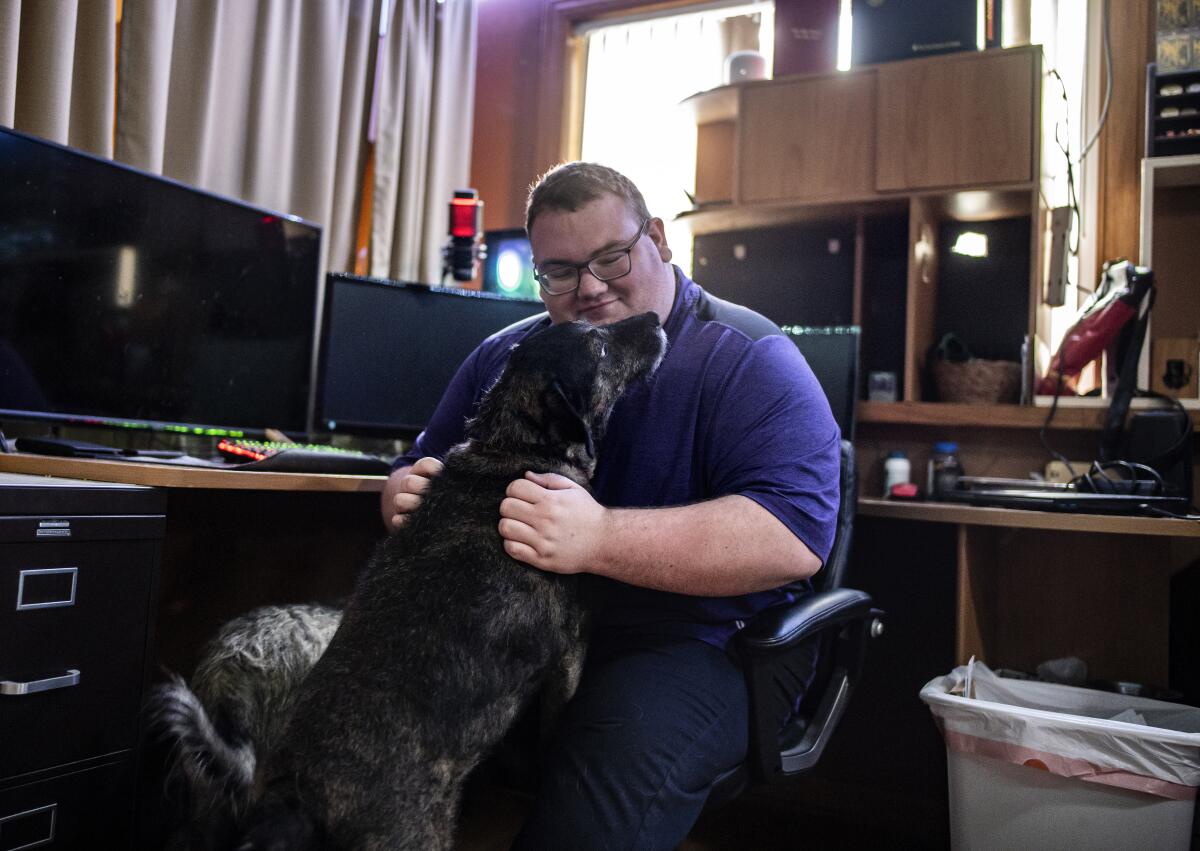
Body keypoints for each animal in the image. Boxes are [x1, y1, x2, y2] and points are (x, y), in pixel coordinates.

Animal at [150, 312, 667, 849]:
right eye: (599, 346)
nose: (654, 318)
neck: (513, 447)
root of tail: (295, 798)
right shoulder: (572, 646)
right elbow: (558, 717)